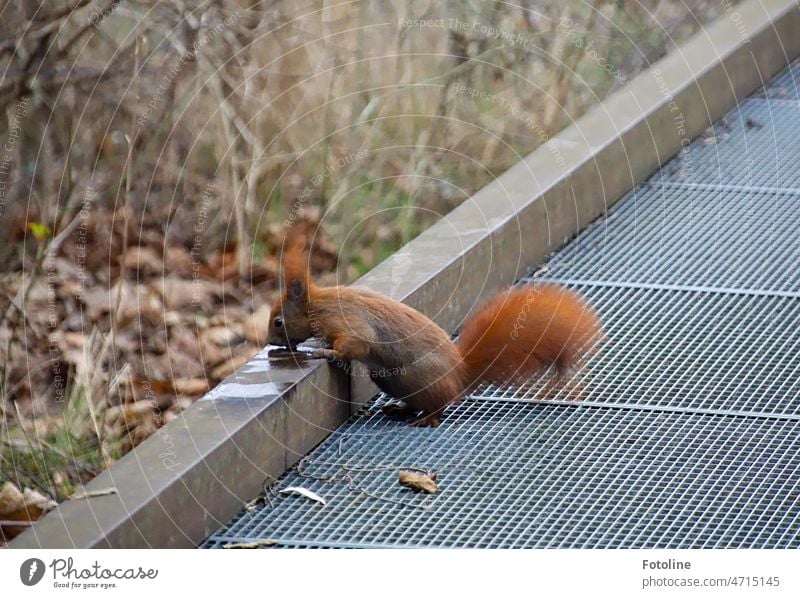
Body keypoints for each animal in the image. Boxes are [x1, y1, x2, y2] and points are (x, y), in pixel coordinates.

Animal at [268, 238, 600, 426]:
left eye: (277, 322)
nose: (269, 342)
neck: (319, 306)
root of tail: (459, 373)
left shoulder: (347, 321)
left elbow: (356, 344)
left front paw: (324, 351)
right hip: (388, 378)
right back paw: (401, 410)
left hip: (419, 376)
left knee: (439, 407)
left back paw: (426, 419)